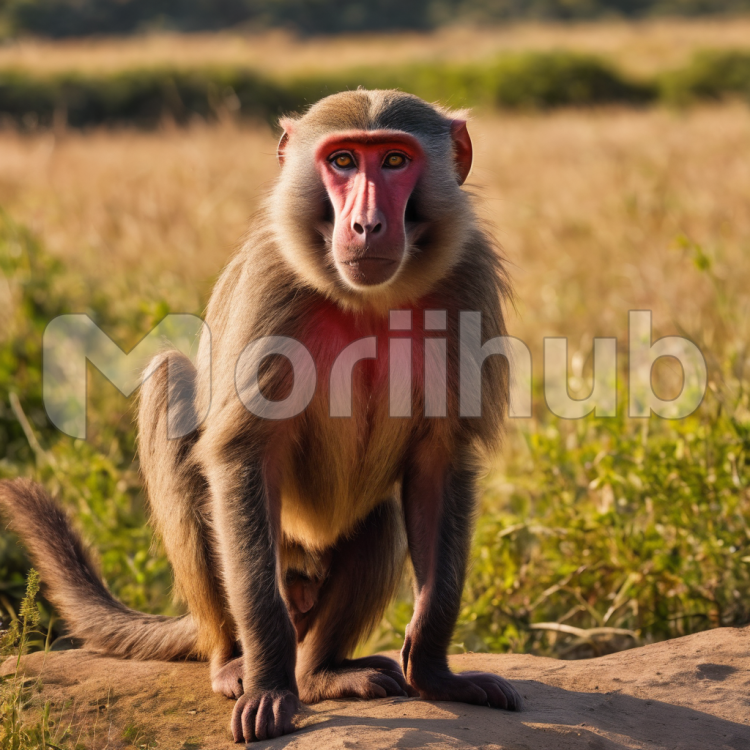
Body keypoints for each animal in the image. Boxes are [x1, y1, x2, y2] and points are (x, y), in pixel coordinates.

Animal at [0, 89, 522, 743]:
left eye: (395, 160)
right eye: (343, 160)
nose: (366, 225)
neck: (369, 302)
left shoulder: (467, 279)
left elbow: (439, 464)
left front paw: (434, 673)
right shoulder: (274, 284)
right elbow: (242, 454)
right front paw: (270, 685)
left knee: (380, 520)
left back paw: (321, 673)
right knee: (172, 389)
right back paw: (235, 661)